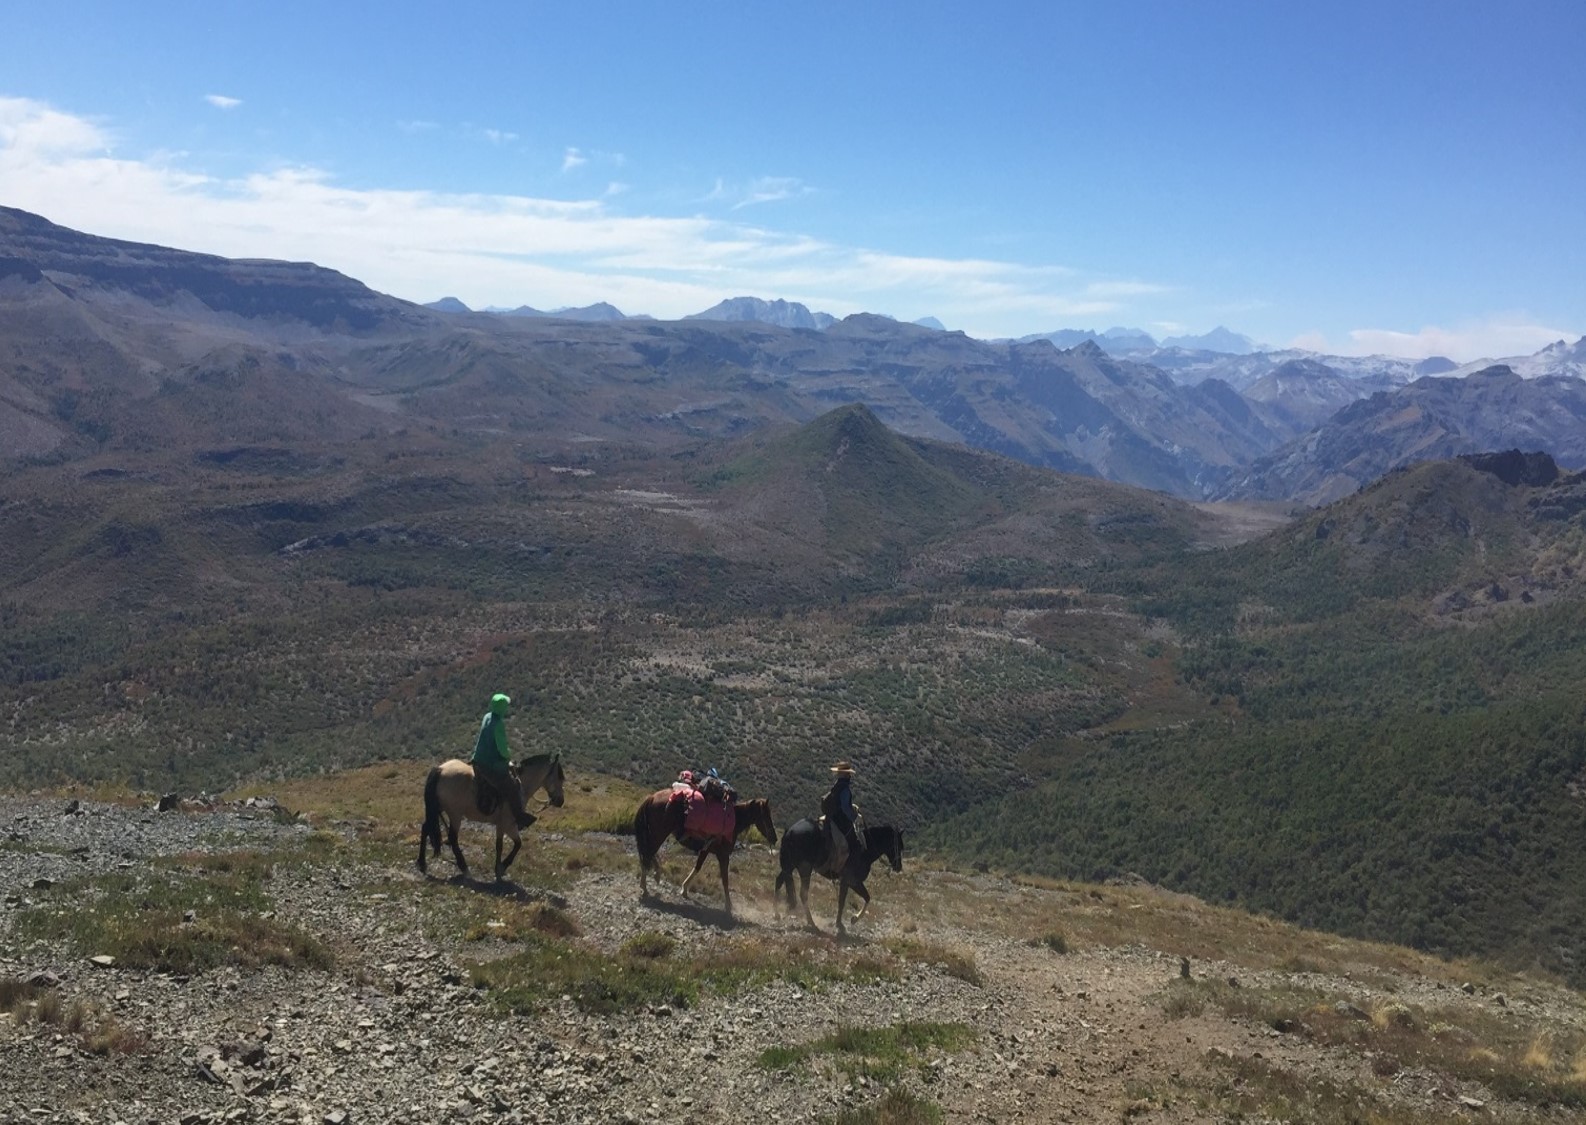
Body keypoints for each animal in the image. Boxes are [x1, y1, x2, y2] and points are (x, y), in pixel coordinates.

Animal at [418, 748, 567, 882]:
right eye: (559, 777)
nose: (560, 801)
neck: (521, 785)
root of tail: (440, 769)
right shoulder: (506, 823)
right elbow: (506, 845)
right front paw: (501, 868)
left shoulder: (507, 825)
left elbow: (513, 844)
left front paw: (500, 867)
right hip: (455, 814)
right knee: (452, 838)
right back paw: (464, 868)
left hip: (437, 808)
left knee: (426, 828)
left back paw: (422, 864)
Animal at [634, 787, 777, 920]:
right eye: (766, 815)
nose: (775, 838)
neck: (734, 821)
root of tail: (652, 797)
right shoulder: (723, 855)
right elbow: (725, 879)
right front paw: (728, 906)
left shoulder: (705, 850)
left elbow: (698, 867)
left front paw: (684, 889)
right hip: (659, 834)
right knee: (647, 854)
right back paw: (645, 886)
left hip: (656, 834)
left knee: (648, 853)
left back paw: (654, 876)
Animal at [777, 818, 907, 933]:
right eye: (899, 845)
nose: (898, 866)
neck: (865, 849)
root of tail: (790, 831)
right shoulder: (851, 881)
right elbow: (850, 900)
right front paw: (846, 922)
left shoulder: (849, 882)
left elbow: (862, 898)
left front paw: (849, 920)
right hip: (804, 869)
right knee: (803, 893)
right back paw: (812, 923)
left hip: (790, 865)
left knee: (779, 881)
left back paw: (776, 909)